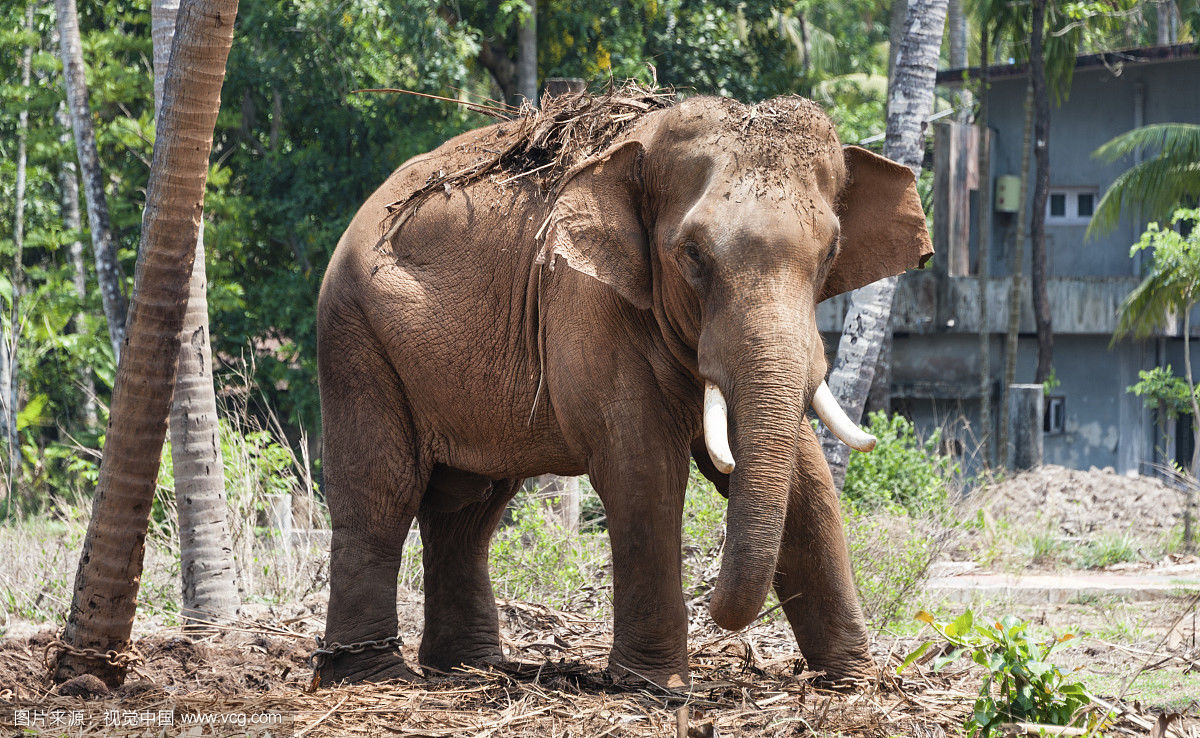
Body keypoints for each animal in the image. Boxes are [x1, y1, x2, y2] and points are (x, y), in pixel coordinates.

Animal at [314, 91, 931, 686]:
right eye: (692, 255)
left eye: (830, 252)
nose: (721, 620)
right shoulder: (586, 302)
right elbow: (643, 466)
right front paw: (656, 685)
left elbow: (807, 479)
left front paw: (855, 680)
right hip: (355, 337)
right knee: (382, 492)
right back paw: (374, 674)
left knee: (469, 509)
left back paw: (471, 669)